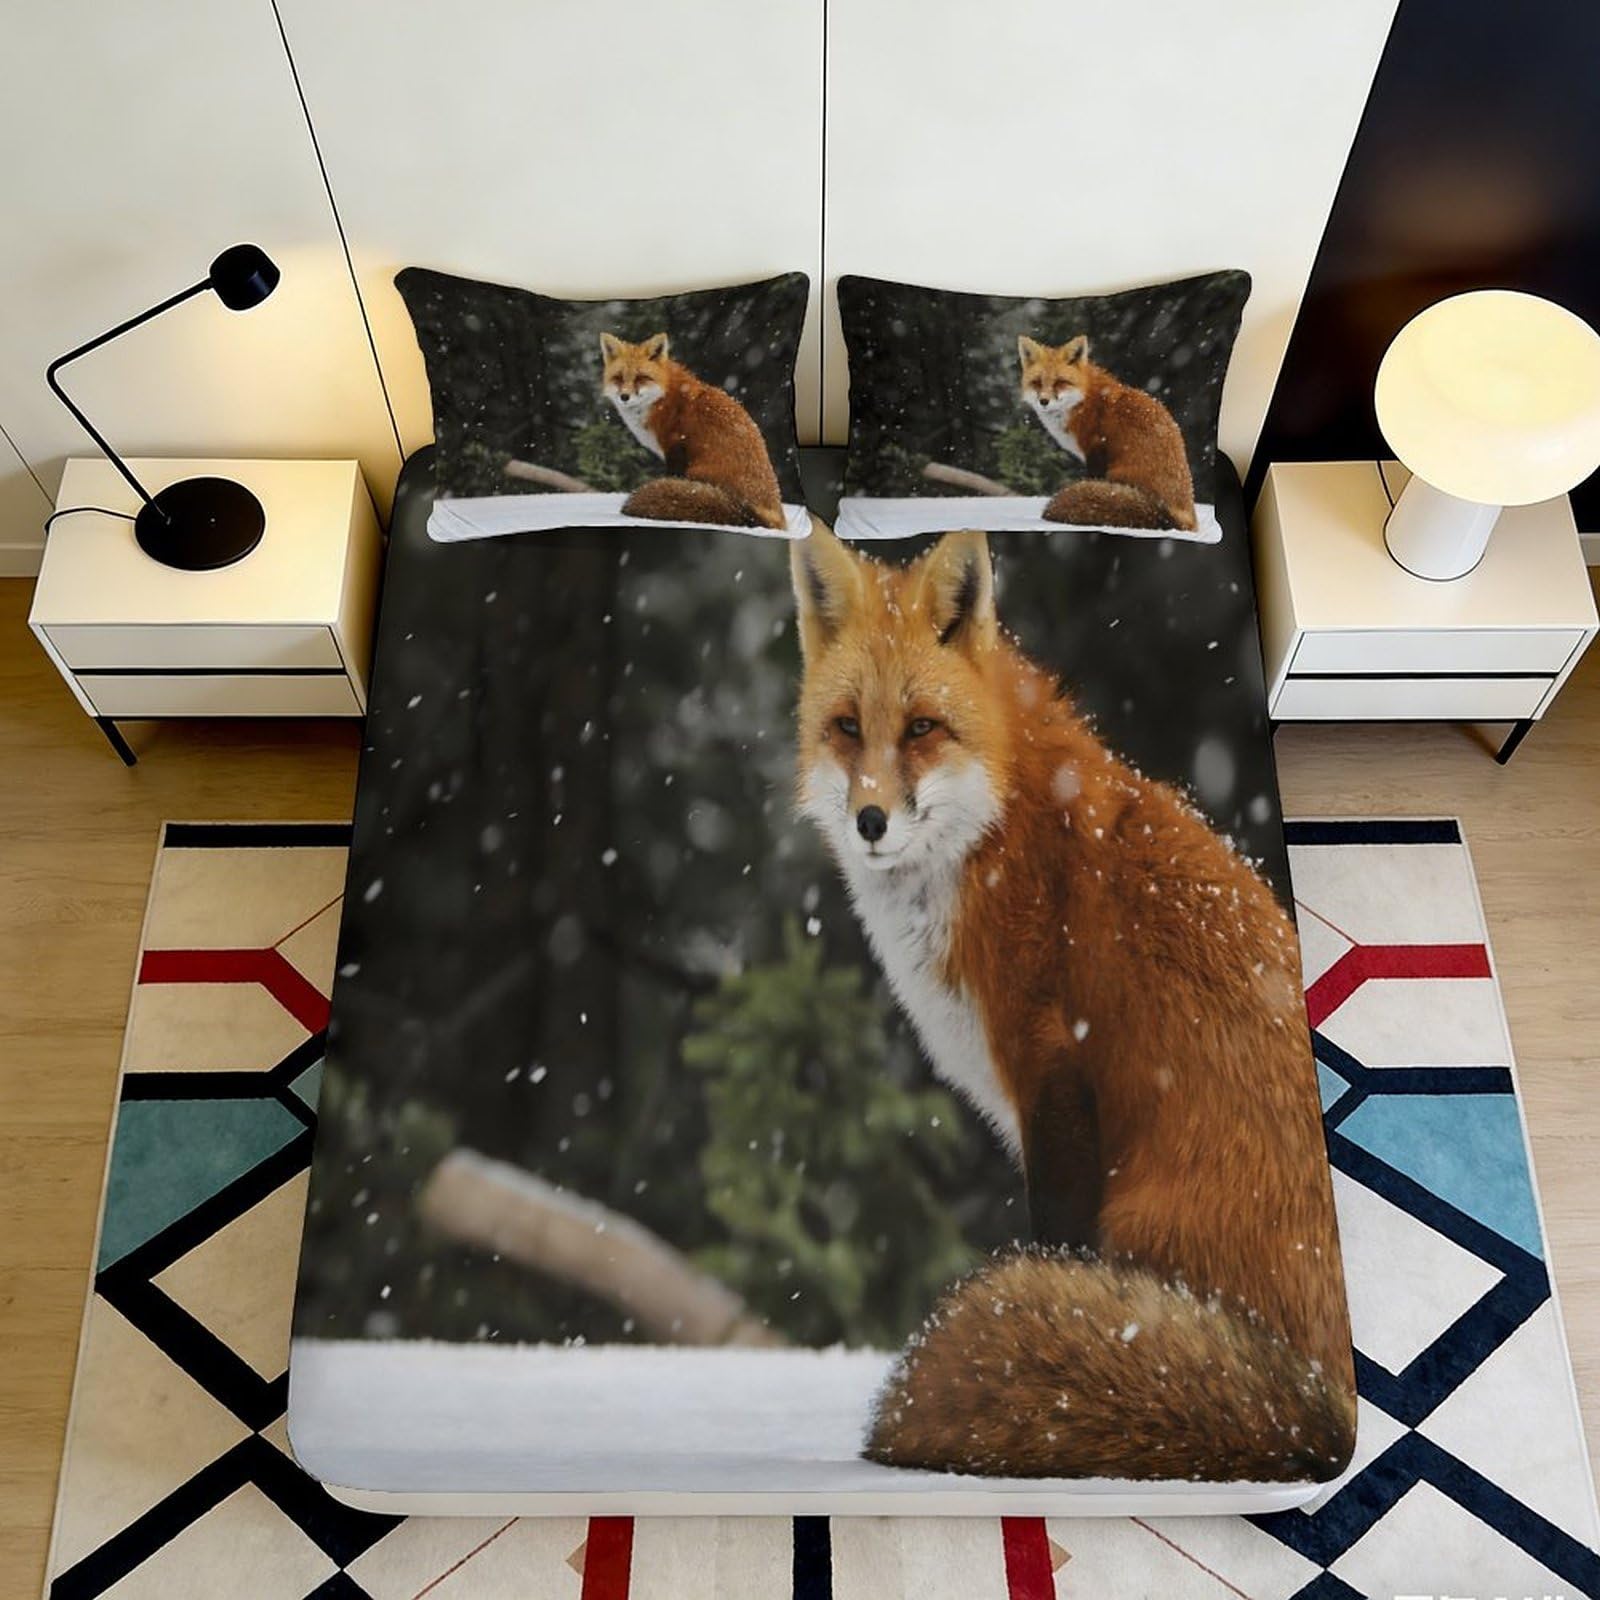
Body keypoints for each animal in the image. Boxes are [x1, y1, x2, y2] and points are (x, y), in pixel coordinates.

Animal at [599, 332, 786, 530]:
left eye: (641, 377)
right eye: (618, 377)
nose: (624, 396)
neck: (660, 400)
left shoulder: (675, 446)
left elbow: (671, 474)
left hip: (696, 472)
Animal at [790, 523, 1356, 1482]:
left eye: (921, 728)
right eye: (847, 728)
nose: (869, 822)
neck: (992, 831)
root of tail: (1326, 1422)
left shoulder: (1049, 1068)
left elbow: (1055, 1241)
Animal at [1018, 334, 1198, 532]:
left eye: (1060, 382)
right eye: (1037, 382)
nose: (1043, 401)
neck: (1082, 403)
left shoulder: (1095, 447)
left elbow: (1091, 476)